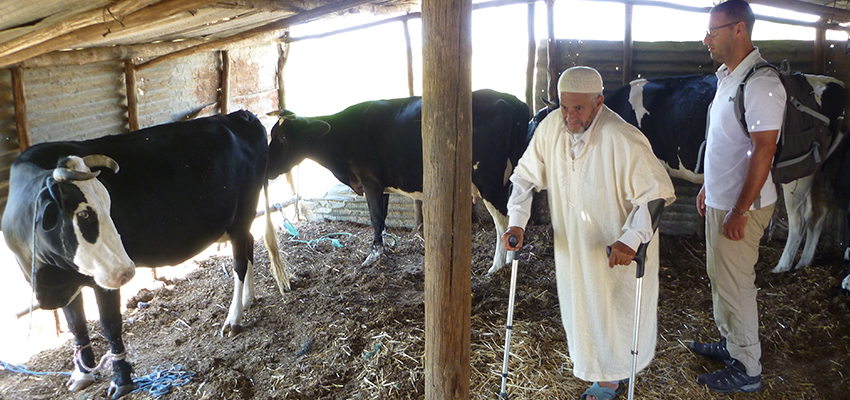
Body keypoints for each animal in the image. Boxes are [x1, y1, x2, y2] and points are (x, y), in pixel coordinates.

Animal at [1, 110, 288, 400]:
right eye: (83, 213)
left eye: (109, 204)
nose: (127, 270)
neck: (48, 278)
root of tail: (240, 115)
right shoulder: (68, 280)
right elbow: (76, 326)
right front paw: (83, 374)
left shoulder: (103, 278)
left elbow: (110, 325)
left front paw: (121, 381)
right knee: (249, 246)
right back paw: (248, 298)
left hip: (242, 214)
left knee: (240, 260)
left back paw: (234, 319)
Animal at [268, 89, 528, 274]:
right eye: (272, 134)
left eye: (284, 136)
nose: (267, 168)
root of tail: (512, 100)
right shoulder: (381, 185)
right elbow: (382, 217)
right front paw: (383, 247)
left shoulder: (370, 181)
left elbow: (375, 217)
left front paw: (373, 255)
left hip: (489, 181)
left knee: (502, 221)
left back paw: (497, 266)